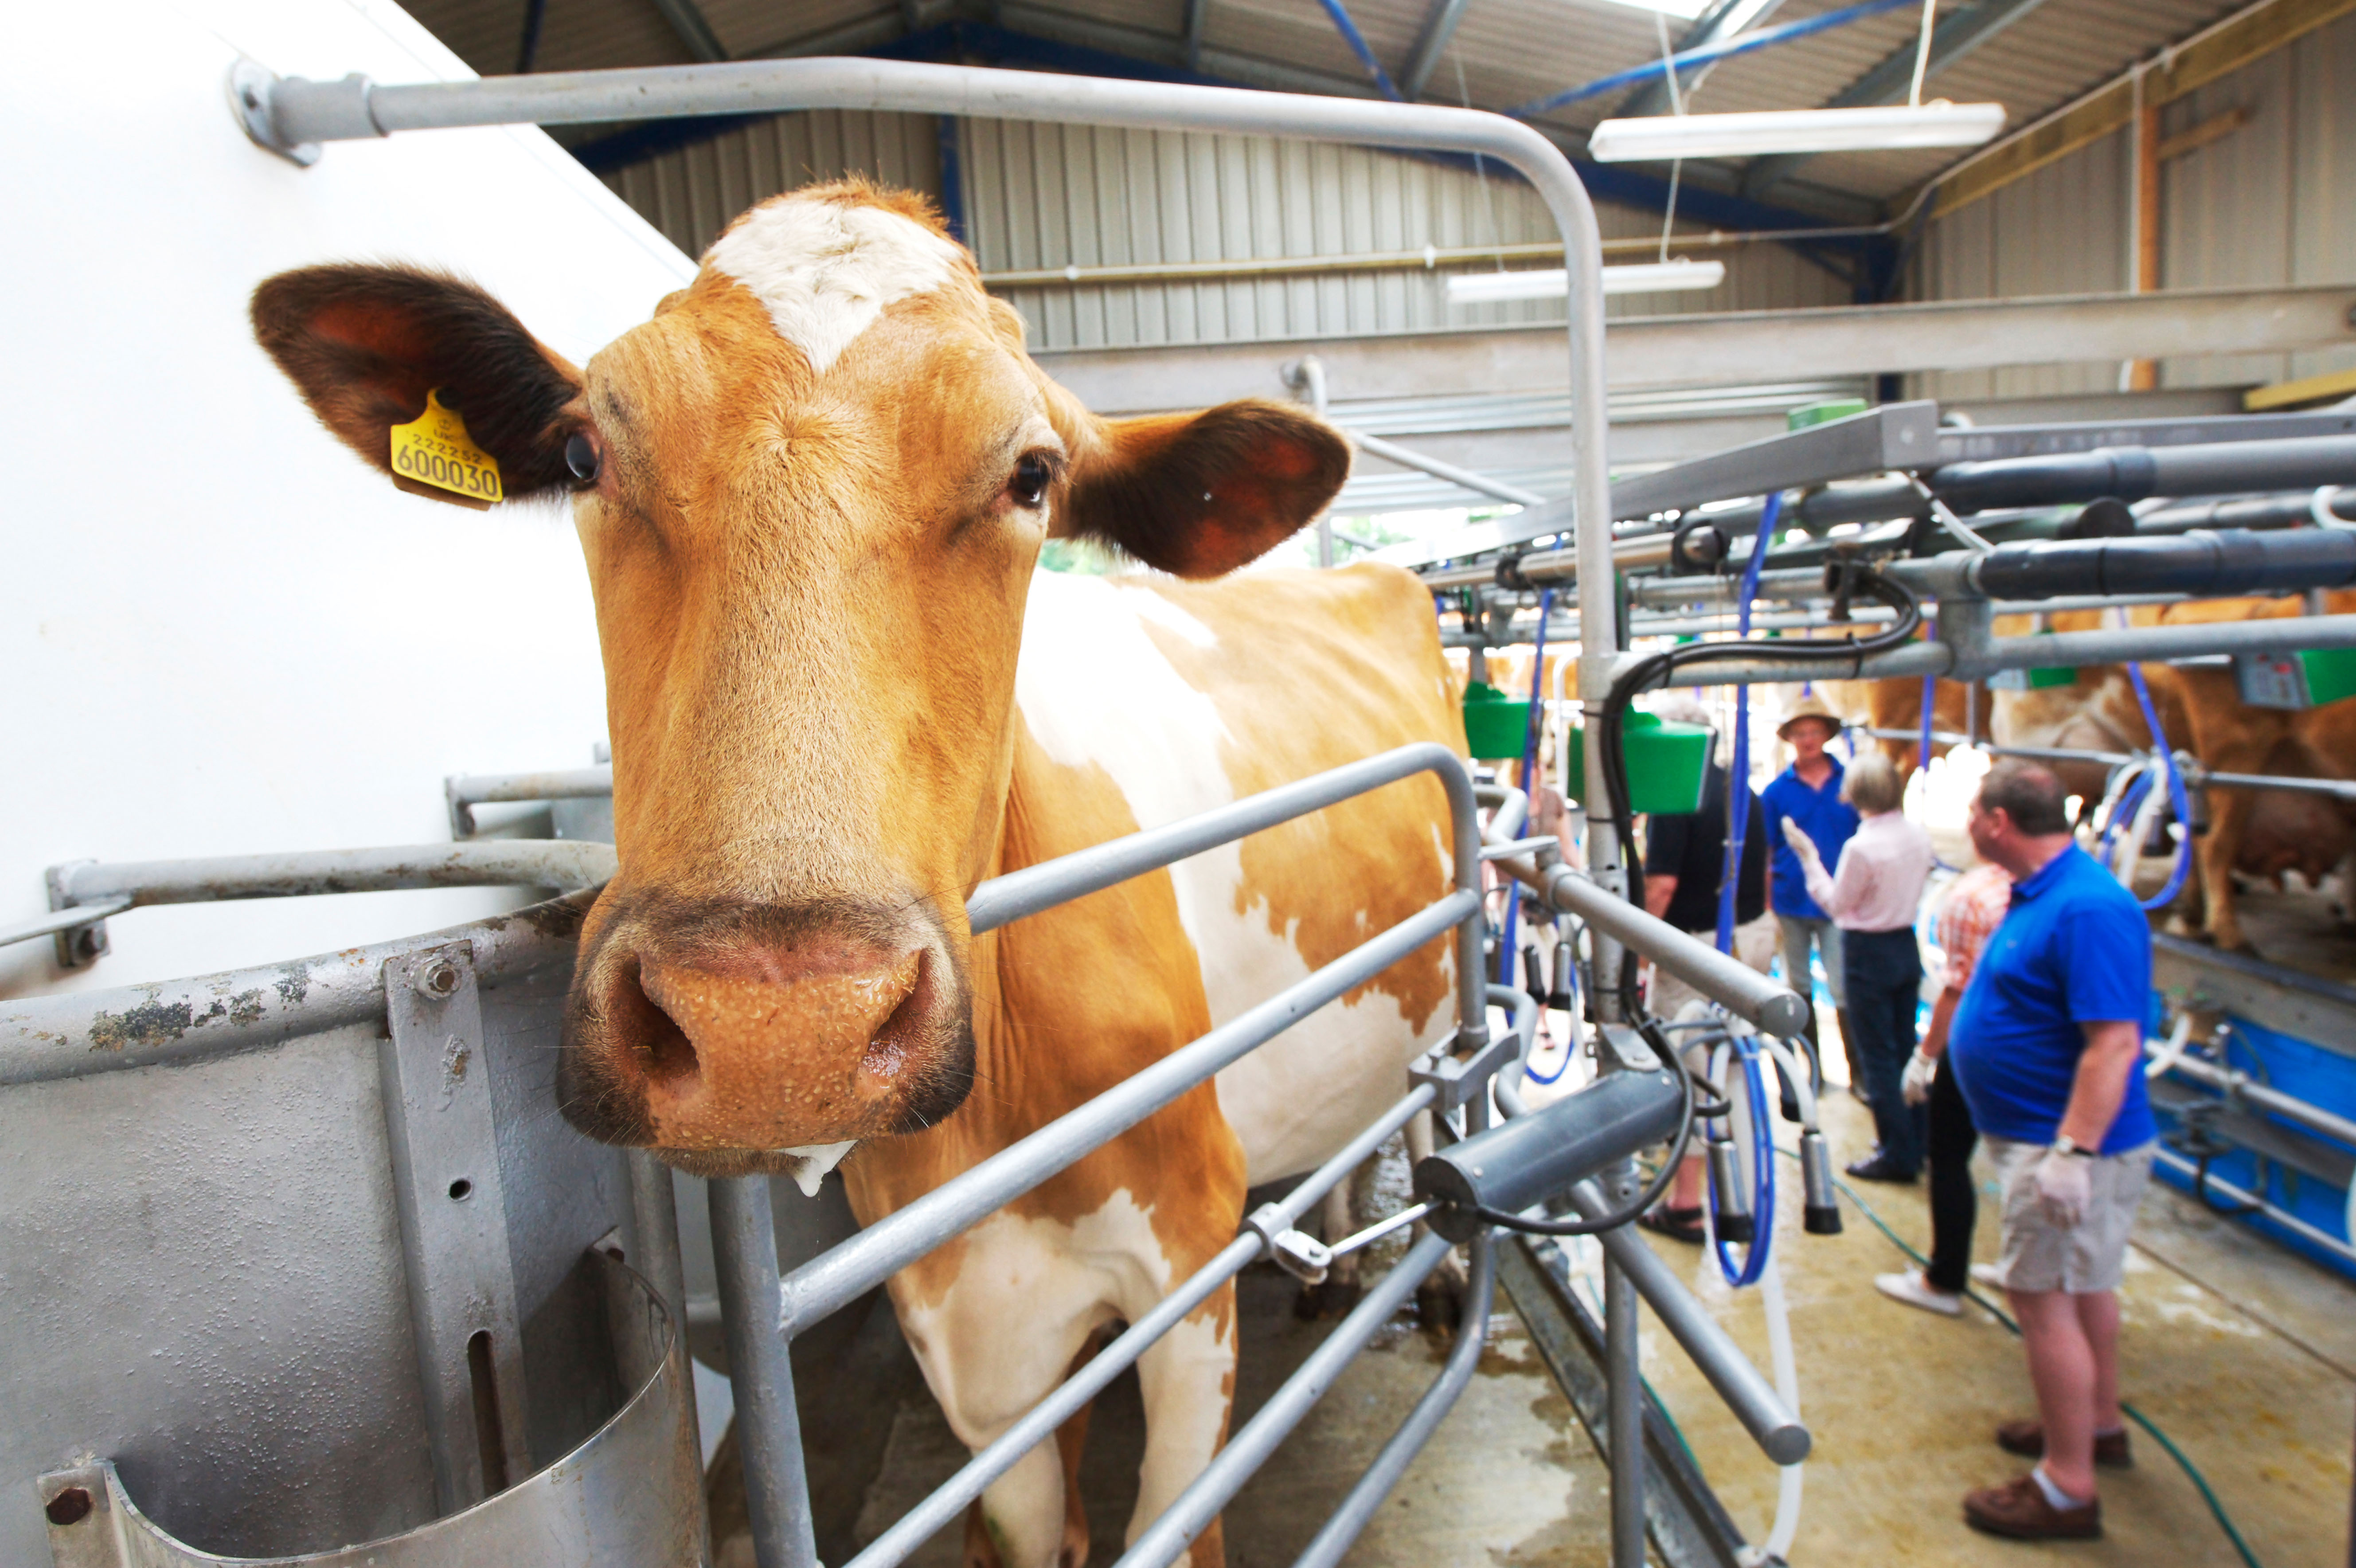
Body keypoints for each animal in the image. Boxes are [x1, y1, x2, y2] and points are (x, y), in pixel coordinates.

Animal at [258, 184, 1470, 1565]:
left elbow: (1175, 1517)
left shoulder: (1185, 1260)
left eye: (1033, 474)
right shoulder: (967, 1317)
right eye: (581, 457)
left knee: (1428, 1094)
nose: (776, 1029)